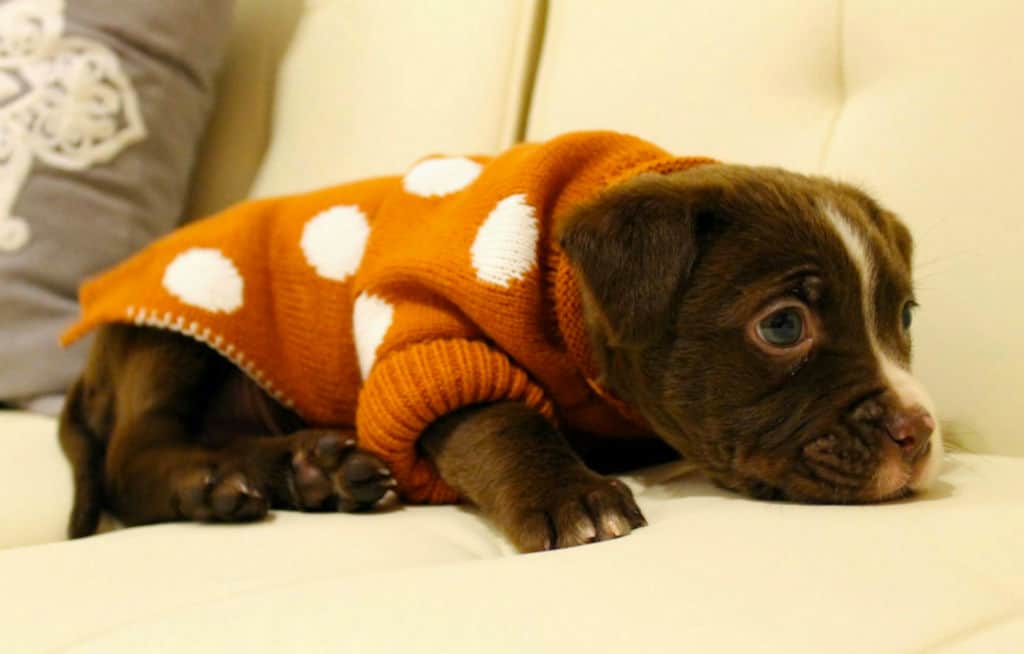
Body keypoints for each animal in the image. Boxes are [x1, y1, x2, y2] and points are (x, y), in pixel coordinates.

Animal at [58, 162, 942, 552]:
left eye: (903, 315)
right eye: (784, 327)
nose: (919, 433)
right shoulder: (432, 338)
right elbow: (503, 422)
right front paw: (572, 496)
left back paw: (317, 469)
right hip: (170, 339)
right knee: (137, 454)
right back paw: (208, 485)